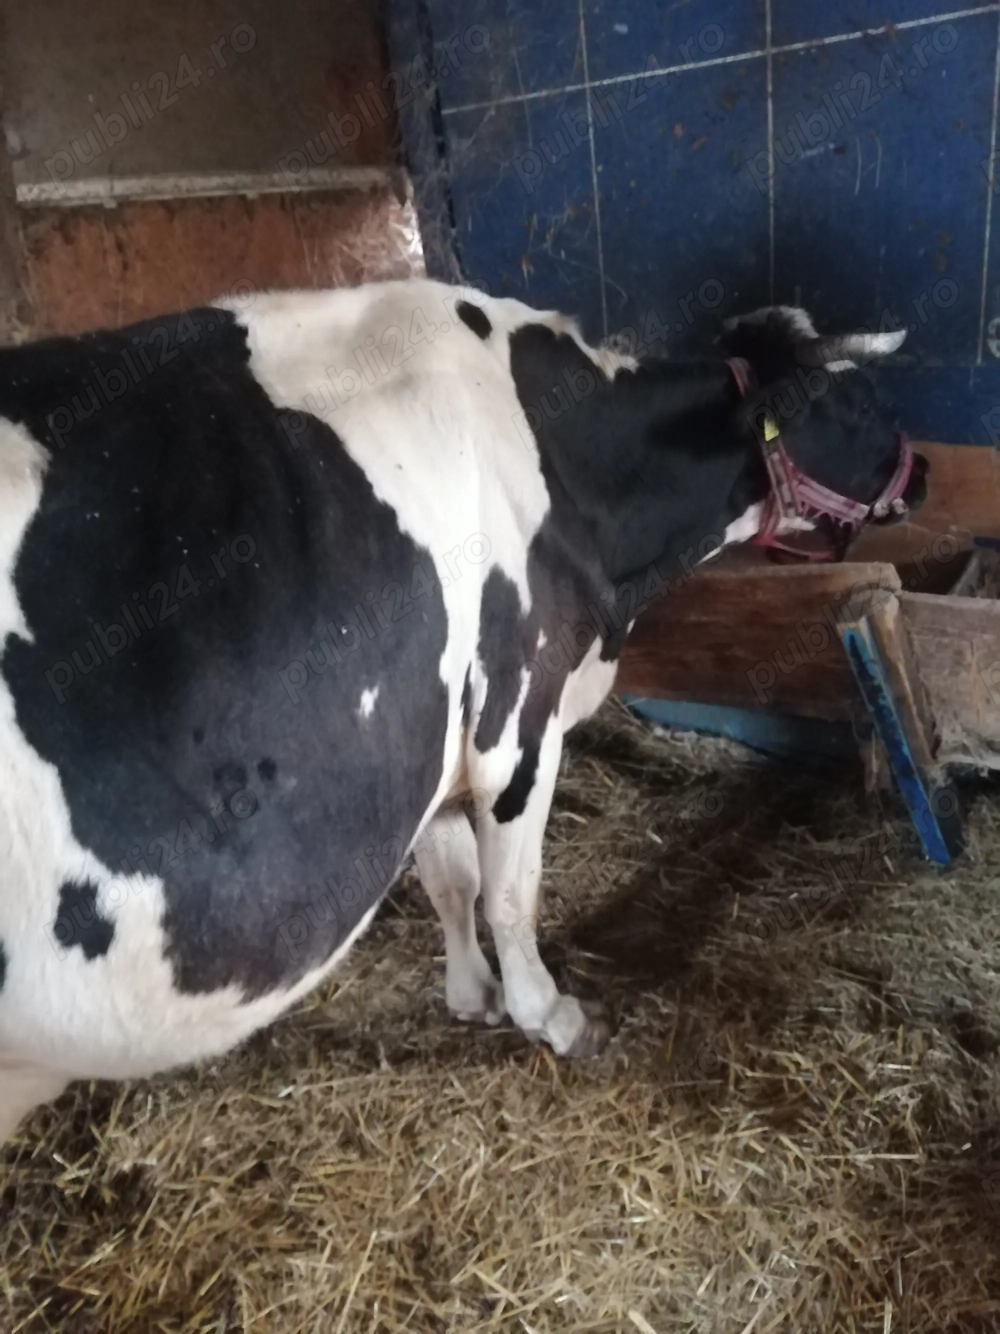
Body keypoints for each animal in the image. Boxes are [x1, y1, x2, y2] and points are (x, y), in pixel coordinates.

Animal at [0, 283, 926, 1138]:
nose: (924, 472)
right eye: (852, 404)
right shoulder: (515, 720)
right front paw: (549, 1014)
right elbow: (512, 889)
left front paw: (471, 992)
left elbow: (452, 878)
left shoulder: (432, 734)